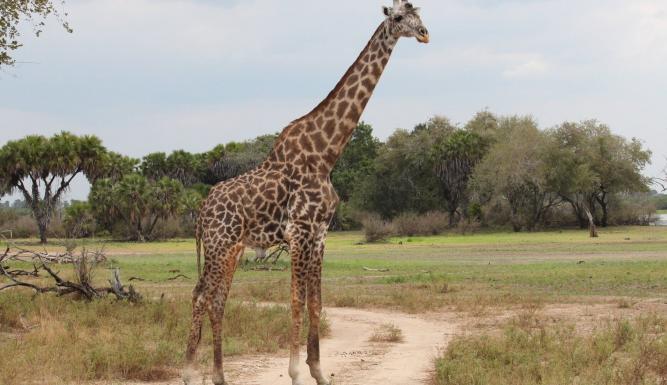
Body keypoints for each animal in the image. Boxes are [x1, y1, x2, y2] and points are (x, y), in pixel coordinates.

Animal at [185, 1, 430, 382]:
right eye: (398, 17)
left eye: (418, 11)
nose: (424, 33)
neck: (326, 155)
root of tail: (201, 212)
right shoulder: (299, 232)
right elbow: (297, 300)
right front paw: (296, 372)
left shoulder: (319, 234)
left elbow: (316, 300)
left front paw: (318, 370)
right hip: (218, 244)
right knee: (200, 296)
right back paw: (187, 372)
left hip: (231, 249)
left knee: (217, 300)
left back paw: (219, 375)